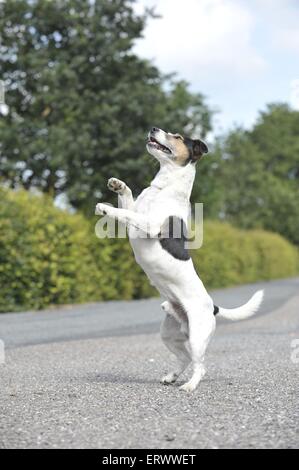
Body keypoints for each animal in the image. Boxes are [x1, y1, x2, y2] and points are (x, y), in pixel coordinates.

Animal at [96, 126, 264, 392]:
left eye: (176, 137)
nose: (154, 128)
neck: (163, 188)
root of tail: (213, 306)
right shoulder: (137, 213)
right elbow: (128, 201)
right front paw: (118, 185)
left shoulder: (149, 225)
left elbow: (124, 212)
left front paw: (105, 207)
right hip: (169, 334)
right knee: (184, 358)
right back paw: (171, 377)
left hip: (196, 337)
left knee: (200, 365)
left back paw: (189, 386)